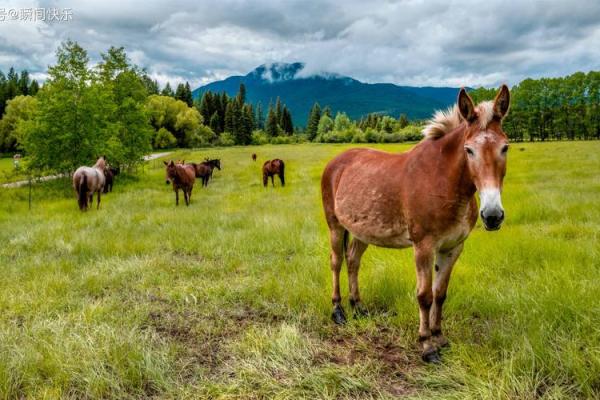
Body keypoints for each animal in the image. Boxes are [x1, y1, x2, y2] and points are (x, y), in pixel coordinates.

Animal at [324, 86, 510, 362]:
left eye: (505, 147)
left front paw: (439, 336)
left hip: (361, 231)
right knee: (337, 262)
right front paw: (426, 345)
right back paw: (338, 310)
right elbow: (424, 296)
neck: (443, 182)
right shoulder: (423, 247)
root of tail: (337, 161)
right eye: (469, 150)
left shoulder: (452, 248)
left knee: (353, 262)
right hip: (335, 226)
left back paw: (358, 307)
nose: (493, 215)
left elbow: (440, 294)